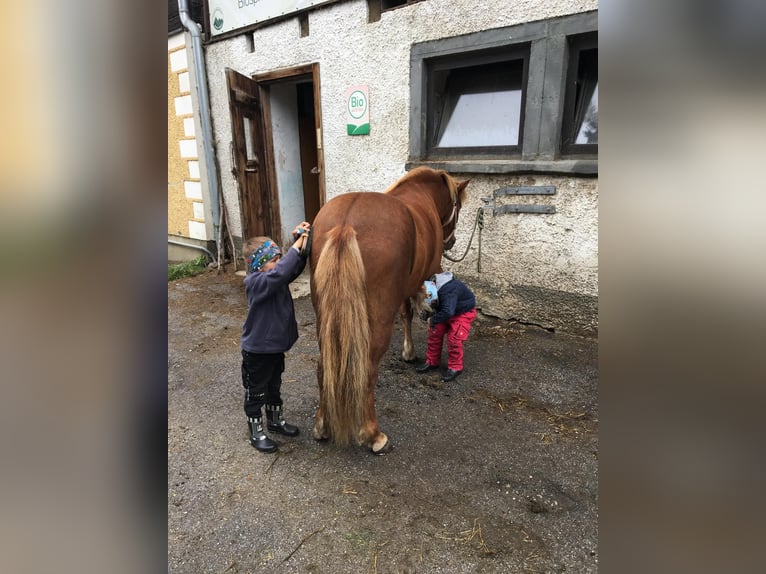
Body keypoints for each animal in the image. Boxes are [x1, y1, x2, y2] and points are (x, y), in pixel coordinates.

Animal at [309, 166, 470, 454]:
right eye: (458, 206)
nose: (451, 242)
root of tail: (345, 225)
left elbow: (407, 314)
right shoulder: (427, 275)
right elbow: (419, 314)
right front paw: (413, 351)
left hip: (324, 319)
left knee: (323, 366)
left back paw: (322, 426)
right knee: (368, 371)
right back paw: (373, 435)